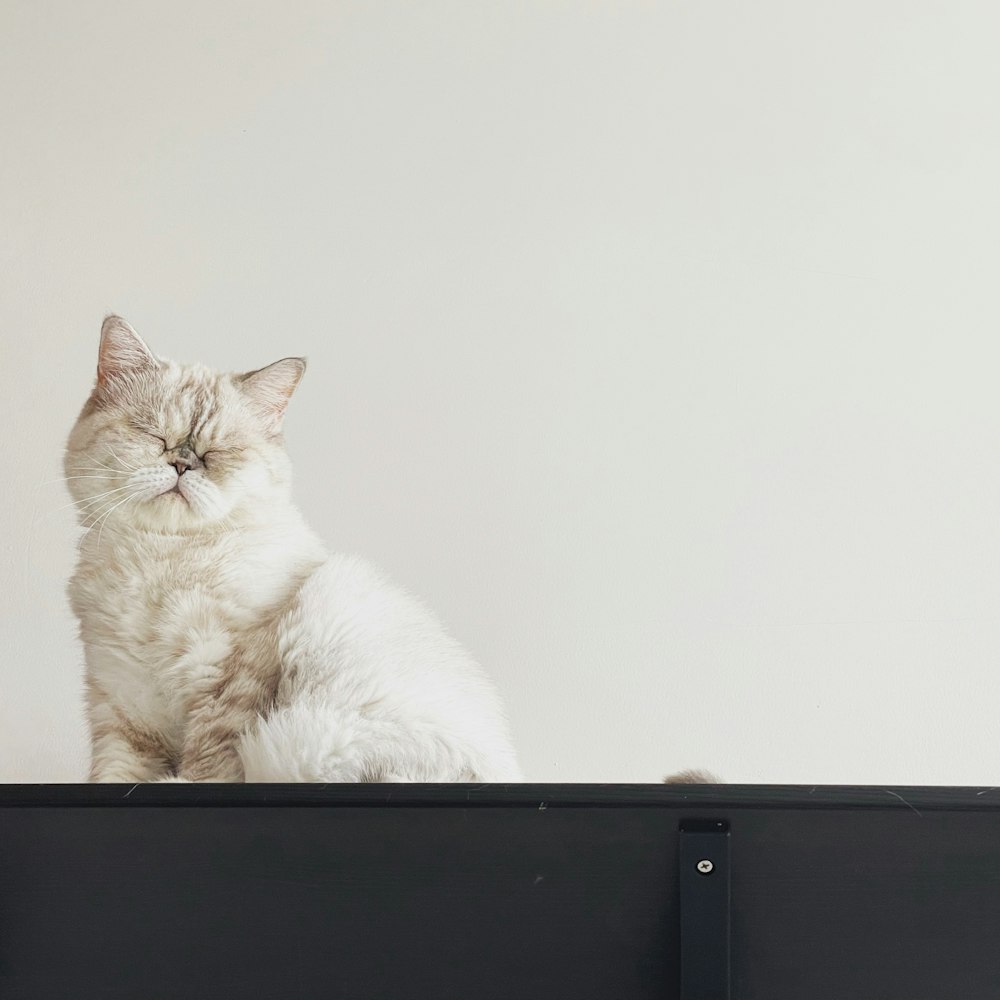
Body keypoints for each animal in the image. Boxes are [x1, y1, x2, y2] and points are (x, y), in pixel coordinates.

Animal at [67, 316, 524, 784]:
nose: (183, 463)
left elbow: (207, 763)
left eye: (220, 451)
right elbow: (115, 774)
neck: (161, 555)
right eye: (153, 435)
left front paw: (183, 780)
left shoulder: (231, 678)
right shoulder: (119, 703)